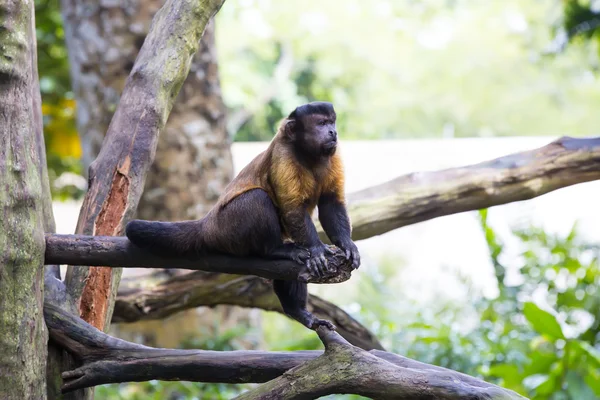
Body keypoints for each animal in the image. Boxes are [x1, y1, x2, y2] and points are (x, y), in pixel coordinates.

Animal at [126, 101, 358, 330]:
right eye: (321, 123)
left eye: (332, 122)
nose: (333, 132)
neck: (308, 154)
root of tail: (208, 224)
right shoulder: (284, 155)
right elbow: (293, 208)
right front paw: (316, 249)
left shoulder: (333, 153)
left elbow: (331, 203)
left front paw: (346, 244)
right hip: (229, 228)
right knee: (257, 198)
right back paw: (276, 250)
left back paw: (298, 312)